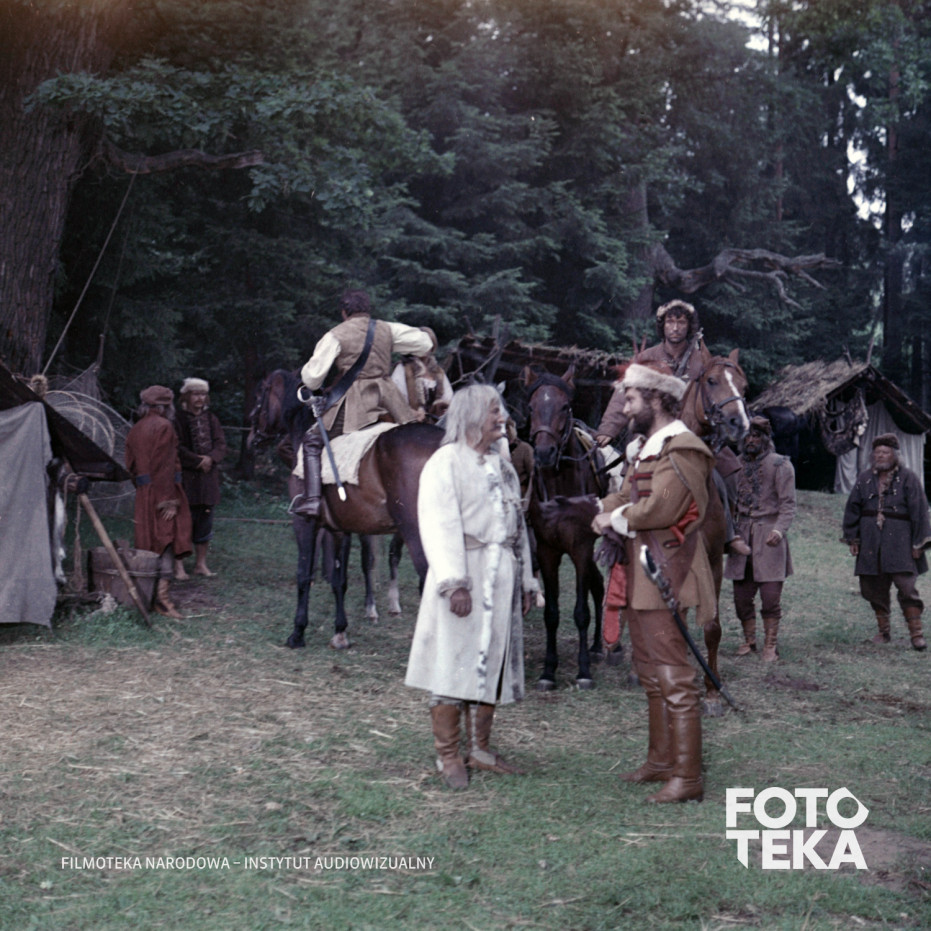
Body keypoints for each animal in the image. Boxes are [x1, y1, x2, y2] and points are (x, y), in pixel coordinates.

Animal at [248, 369, 443, 649]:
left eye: (260, 396)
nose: (253, 437)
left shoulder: (304, 524)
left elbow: (304, 574)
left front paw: (298, 632)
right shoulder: (340, 530)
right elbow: (339, 580)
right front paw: (340, 632)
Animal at [523, 364, 607, 690]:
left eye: (565, 407)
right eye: (532, 407)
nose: (545, 452)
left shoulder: (581, 547)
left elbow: (581, 612)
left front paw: (583, 672)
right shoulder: (547, 550)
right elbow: (551, 612)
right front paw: (548, 670)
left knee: (598, 587)